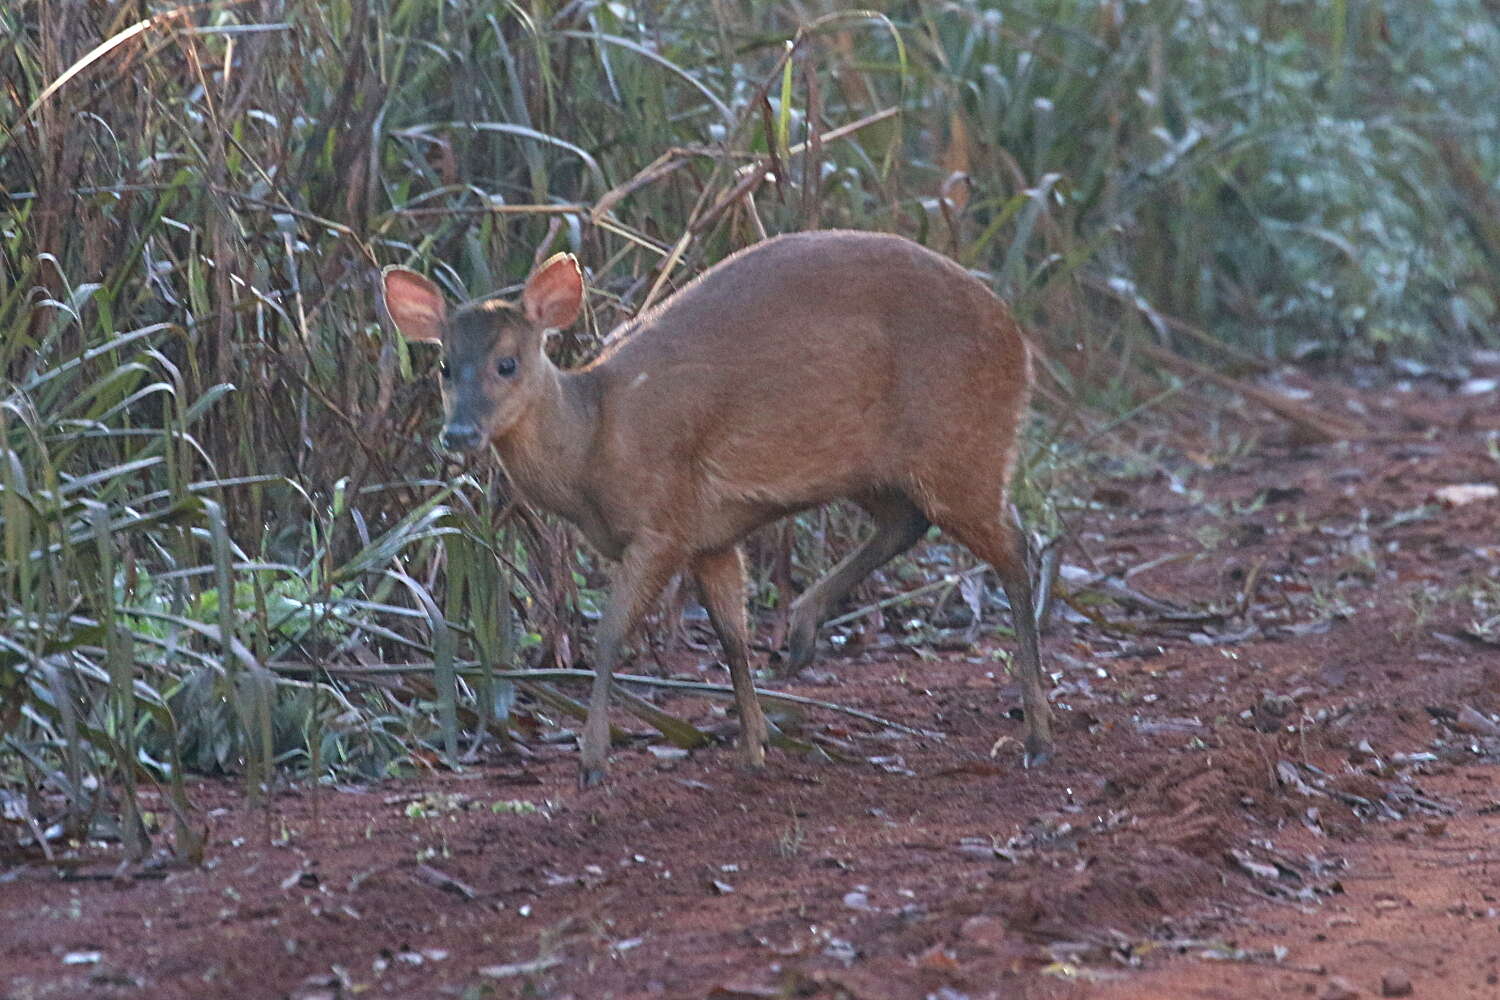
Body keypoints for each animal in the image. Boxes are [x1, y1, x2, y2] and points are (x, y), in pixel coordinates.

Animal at [381, 230, 1050, 785]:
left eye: (508, 363)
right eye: (444, 366)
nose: (459, 433)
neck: (594, 443)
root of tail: (1018, 338)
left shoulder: (663, 522)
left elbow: (609, 635)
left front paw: (593, 761)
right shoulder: (711, 535)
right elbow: (732, 636)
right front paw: (753, 748)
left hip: (964, 441)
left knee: (1016, 549)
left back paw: (1037, 737)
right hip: (874, 464)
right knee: (909, 522)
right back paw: (803, 631)